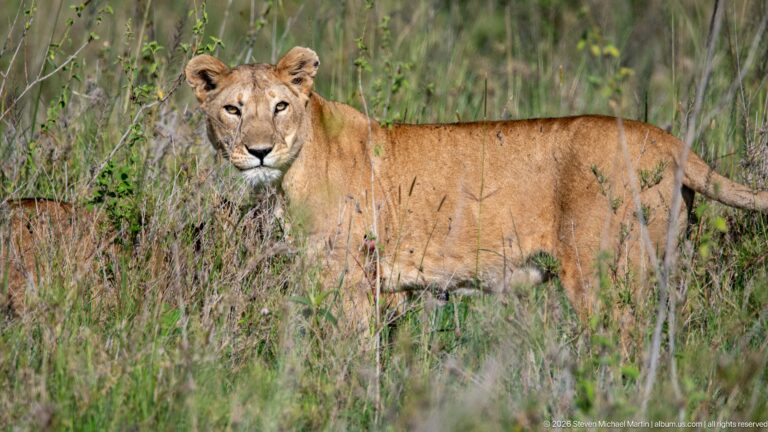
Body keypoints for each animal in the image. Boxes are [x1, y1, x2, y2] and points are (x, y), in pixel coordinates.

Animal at [183, 46, 763, 322]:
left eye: (280, 106)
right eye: (233, 109)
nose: (260, 150)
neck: (290, 175)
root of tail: (672, 142)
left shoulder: (351, 280)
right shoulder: (391, 292)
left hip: (604, 275)